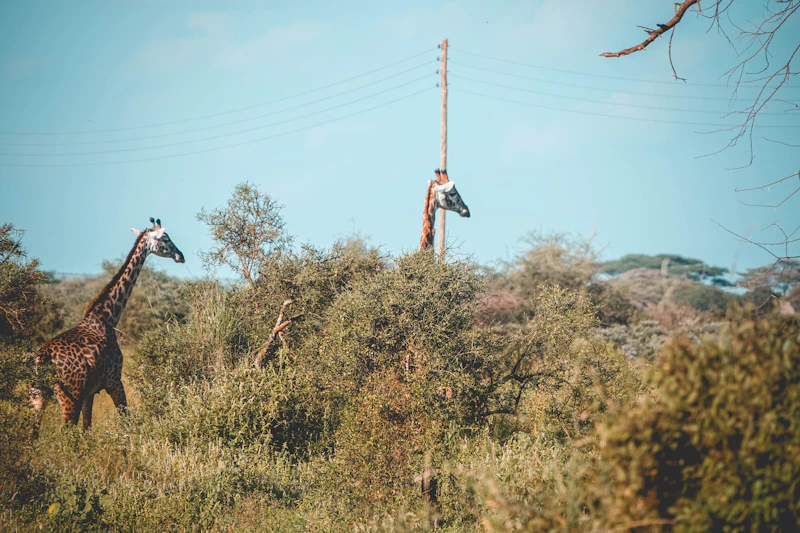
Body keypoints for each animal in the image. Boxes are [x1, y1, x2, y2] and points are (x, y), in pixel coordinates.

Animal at [30, 218, 184, 433]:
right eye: (165, 238)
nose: (181, 256)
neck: (108, 317)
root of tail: (42, 358)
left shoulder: (90, 392)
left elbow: (87, 429)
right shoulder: (114, 381)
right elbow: (125, 419)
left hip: (37, 395)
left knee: (33, 434)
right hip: (69, 397)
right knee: (65, 434)